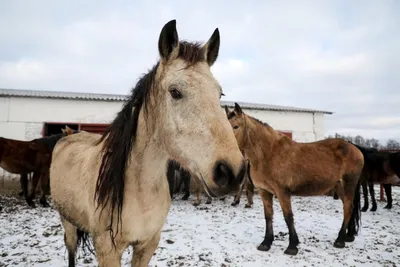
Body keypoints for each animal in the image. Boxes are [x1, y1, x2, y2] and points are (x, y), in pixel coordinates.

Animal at [48, 19, 245, 267]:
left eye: (219, 94)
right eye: (175, 92)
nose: (232, 172)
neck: (139, 190)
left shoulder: (147, 244)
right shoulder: (107, 250)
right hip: (67, 222)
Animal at [227, 103, 364, 256]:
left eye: (236, 126)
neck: (269, 154)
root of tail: (354, 147)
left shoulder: (283, 192)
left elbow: (288, 217)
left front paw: (292, 246)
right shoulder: (264, 192)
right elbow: (268, 216)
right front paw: (266, 243)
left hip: (349, 184)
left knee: (348, 208)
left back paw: (340, 240)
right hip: (339, 187)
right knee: (349, 207)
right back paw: (348, 236)